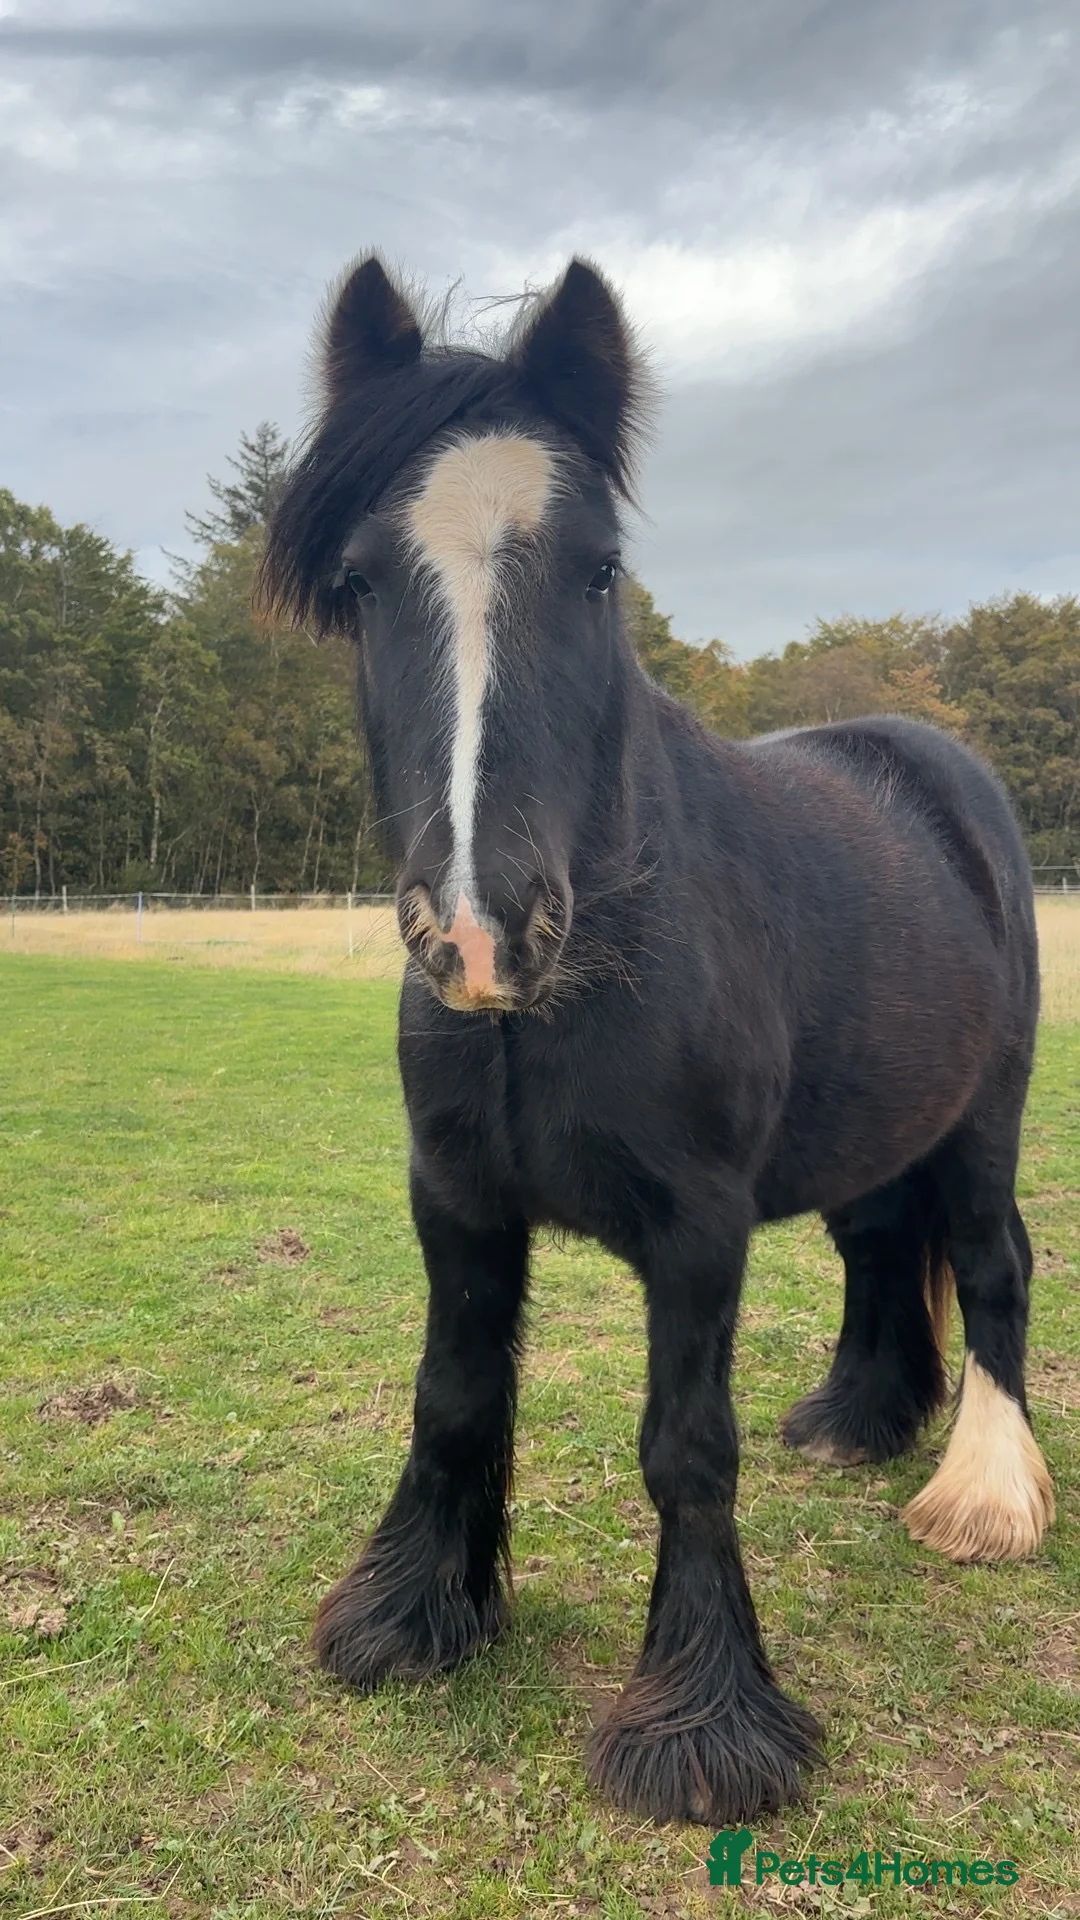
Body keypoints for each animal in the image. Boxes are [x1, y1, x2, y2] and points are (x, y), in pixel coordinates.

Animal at [261, 253, 1054, 1825]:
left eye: (599, 572)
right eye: (365, 581)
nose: (481, 932)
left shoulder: (697, 1233)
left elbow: (686, 1450)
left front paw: (701, 1727)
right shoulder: (455, 1206)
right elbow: (453, 1399)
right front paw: (411, 1618)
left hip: (984, 1115)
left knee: (994, 1263)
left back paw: (985, 1499)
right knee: (884, 1248)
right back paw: (859, 1421)